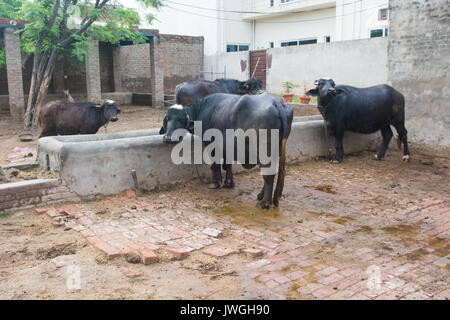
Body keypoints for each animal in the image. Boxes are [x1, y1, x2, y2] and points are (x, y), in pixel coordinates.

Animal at [160, 93, 294, 208]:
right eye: (167, 119)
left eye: (181, 120)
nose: (168, 138)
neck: (203, 110)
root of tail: (276, 102)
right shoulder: (227, 148)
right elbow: (227, 165)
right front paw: (229, 183)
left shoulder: (211, 145)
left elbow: (215, 164)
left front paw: (216, 183)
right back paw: (261, 195)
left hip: (264, 152)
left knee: (268, 175)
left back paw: (265, 202)